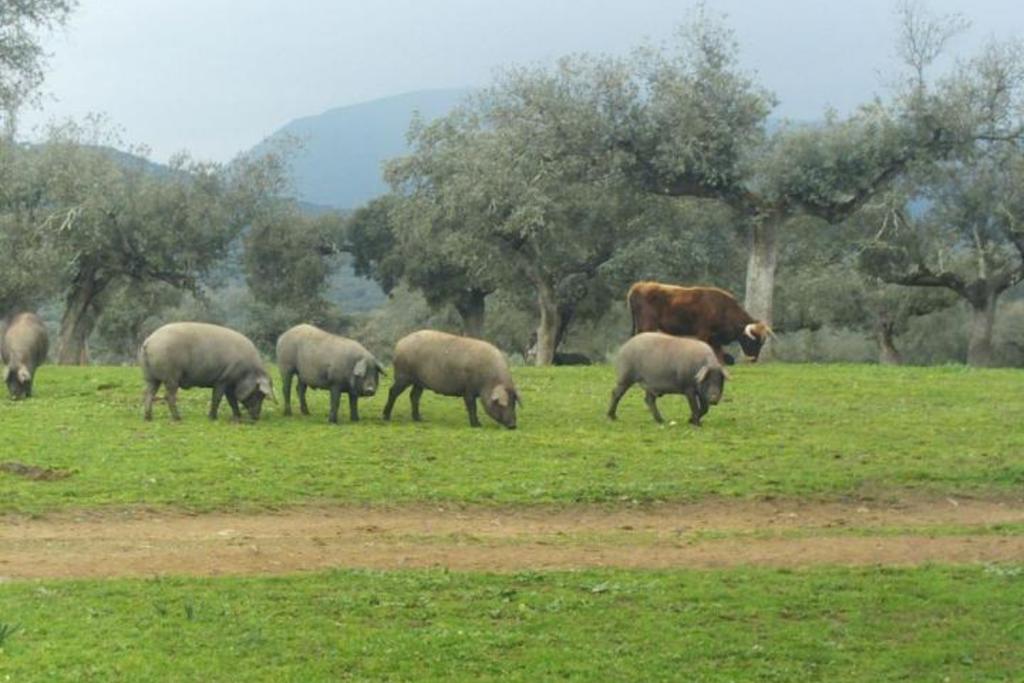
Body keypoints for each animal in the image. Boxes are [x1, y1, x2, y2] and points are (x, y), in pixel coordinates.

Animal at [142, 321, 276, 421]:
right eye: (259, 394)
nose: (257, 417)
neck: (247, 371)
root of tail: (149, 341)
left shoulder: (230, 384)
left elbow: (231, 400)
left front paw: (238, 417)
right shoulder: (223, 379)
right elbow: (217, 397)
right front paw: (212, 417)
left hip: (151, 376)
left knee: (148, 393)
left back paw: (148, 418)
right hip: (171, 376)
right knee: (169, 396)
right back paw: (178, 418)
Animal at [382, 329, 520, 428]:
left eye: (514, 403)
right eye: (502, 404)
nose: (513, 425)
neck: (488, 381)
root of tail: (399, 344)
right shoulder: (468, 389)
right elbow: (472, 406)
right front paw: (477, 425)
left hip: (419, 381)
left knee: (414, 396)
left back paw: (420, 419)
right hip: (403, 375)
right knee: (392, 391)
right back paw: (386, 417)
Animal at [622, 280, 774, 362]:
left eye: (762, 342)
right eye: (752, 340)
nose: (753, 359)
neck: (723, 308)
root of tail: (639, 286)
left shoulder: (715, 339)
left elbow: (719, 356)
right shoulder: (703, 333)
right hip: (647, 326)